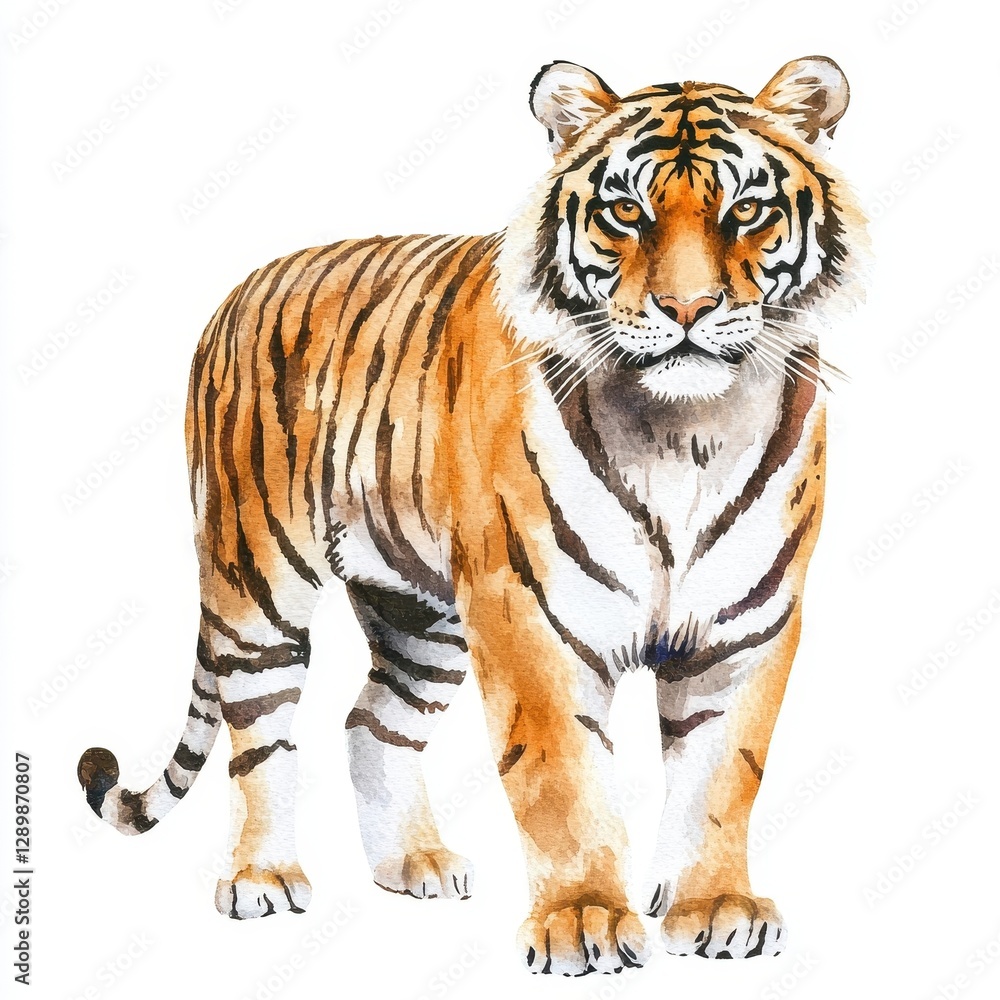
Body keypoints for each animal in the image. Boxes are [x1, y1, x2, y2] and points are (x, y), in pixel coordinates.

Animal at [77, 56, 867, 974]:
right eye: (626, 212)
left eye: (746, 211)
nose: (687, 310)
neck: (688, 433)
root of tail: (237, 293)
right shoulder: (530, 616)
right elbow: (561, 777)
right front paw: (584, 921)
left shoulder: (747, 626)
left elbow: (722, 774)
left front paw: (714, 909)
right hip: (258, 578)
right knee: (261, 730)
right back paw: (263, 877)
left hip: (421, 612)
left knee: (371, 722)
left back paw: (411, 863)